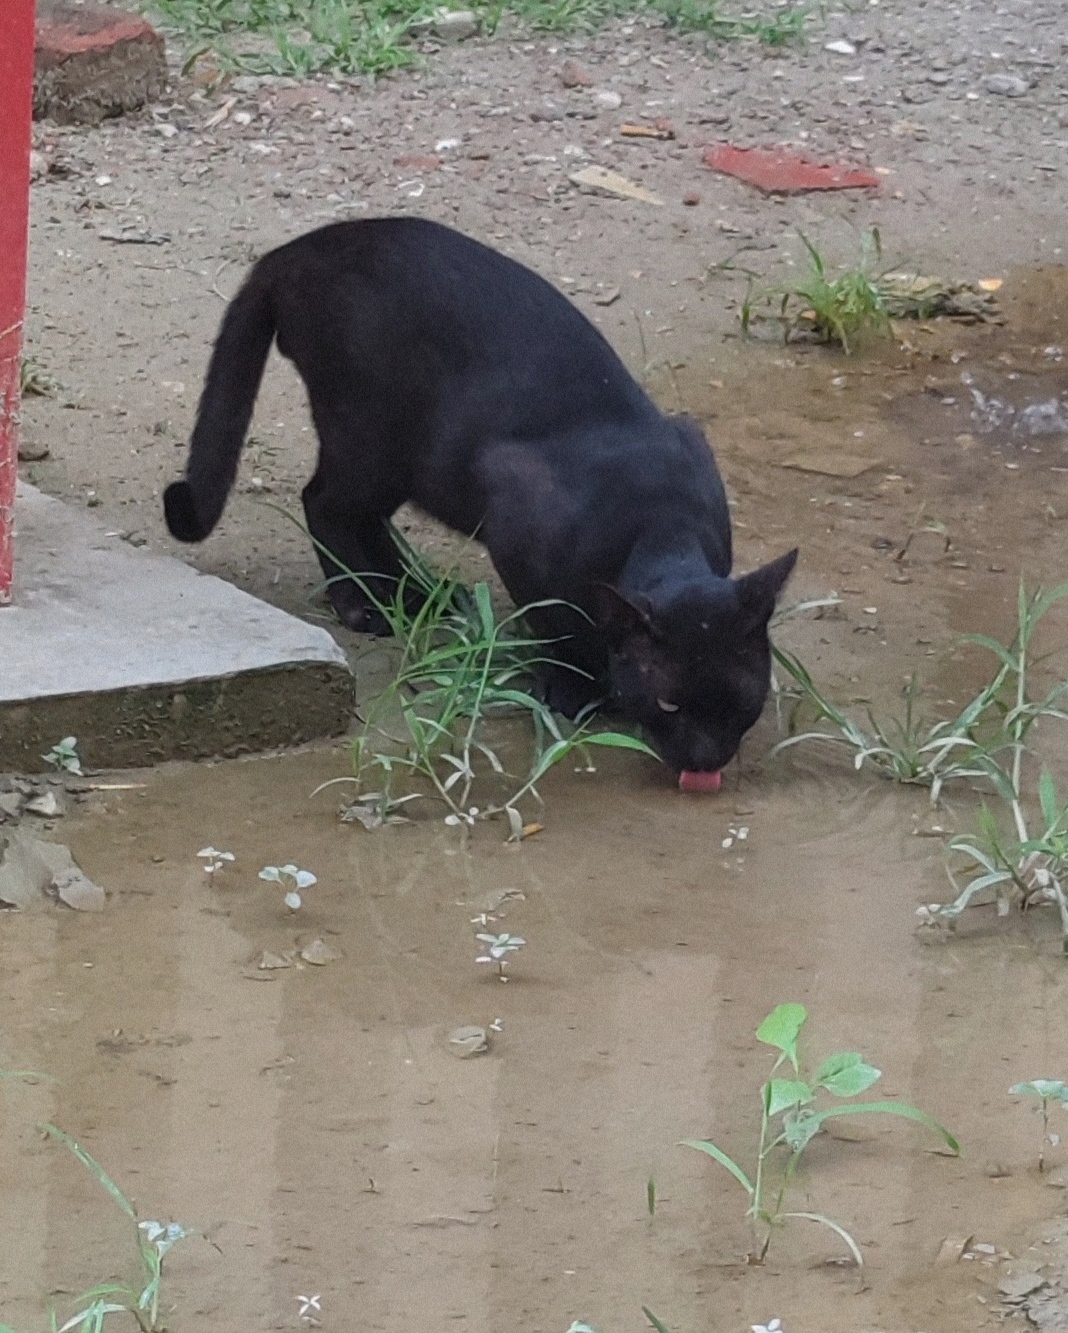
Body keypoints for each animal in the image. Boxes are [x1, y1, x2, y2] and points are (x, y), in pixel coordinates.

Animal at [164, 218, 789, 778]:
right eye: (669, 703)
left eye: (740, 704)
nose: (706, 759)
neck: (658, 522)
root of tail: (296, 248)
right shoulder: (516, 518)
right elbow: (556, 625)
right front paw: (574, 689)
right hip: (372, 439)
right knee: (325, 504)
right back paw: (364, 606)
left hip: (400, 463)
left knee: (365, 521)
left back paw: (423, 596)